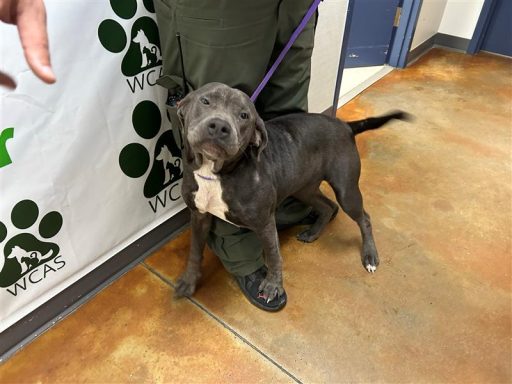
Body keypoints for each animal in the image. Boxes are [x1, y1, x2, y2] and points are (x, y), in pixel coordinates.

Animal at [174, 82, 410, 304]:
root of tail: (344, 125)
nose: (220, 126)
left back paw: (369, 256)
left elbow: (273, 255)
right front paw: (189, 281)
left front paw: (272, 286)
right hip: (304, 189)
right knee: (328, 206)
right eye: (205, 101)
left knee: (364, 218)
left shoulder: (265, 223)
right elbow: (195, 251)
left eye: (244, 115)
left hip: (346, 191)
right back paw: (313, 232)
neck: (214, 172)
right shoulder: (199, 216)